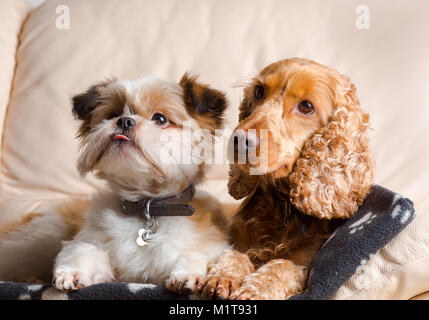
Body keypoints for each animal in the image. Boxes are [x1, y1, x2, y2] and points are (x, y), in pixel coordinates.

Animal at [0, 74, 231, 294]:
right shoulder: (92, 242)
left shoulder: (211, 244)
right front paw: (72, 271)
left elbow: (194, 255)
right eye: (112, 115)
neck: (146, 209)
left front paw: (186, 275)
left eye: (160, 118)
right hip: (40, 237)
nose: (124, 121)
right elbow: (82, 250)